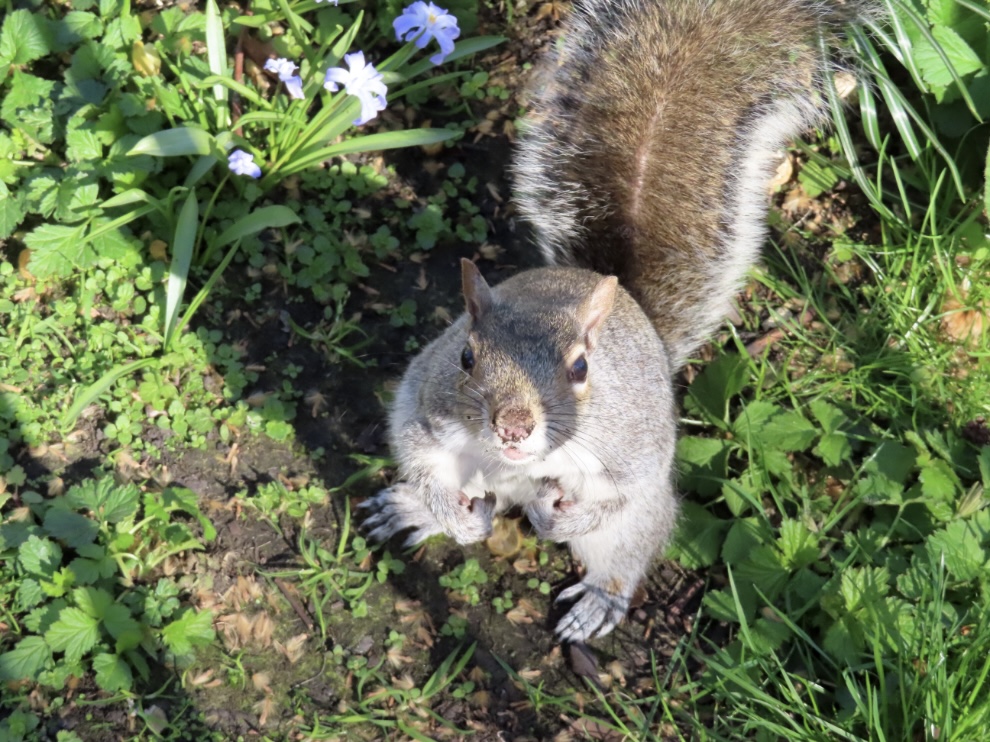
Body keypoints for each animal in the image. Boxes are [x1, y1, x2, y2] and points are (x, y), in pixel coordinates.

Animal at [362, 0, 871, 642]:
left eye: (582, 368)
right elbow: (419, 455)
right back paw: (411, 509)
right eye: (466, 357)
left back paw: (598, 599)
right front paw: (448, 514)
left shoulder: (633, 452)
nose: (512, 427)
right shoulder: (425, 406)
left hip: (635, 521)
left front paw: (562, 522)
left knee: (627, 547)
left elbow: (618, 497)